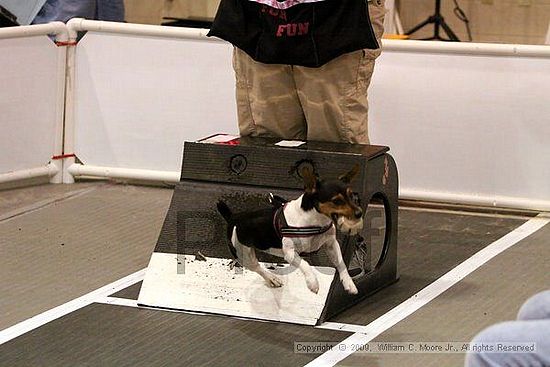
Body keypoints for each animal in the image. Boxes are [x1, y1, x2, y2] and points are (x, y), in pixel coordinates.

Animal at [218, 167, 364, 296]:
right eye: (336, 201)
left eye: (351, 195)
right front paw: (312, 282)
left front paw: (348, 283)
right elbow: (305, 264)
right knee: (258, 268)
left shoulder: (331, 245)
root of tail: (233, 217)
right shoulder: (290, 254)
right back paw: (272, 278)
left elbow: (341, 263)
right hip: (244, 255)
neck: (315, 220)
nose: (359, 213)